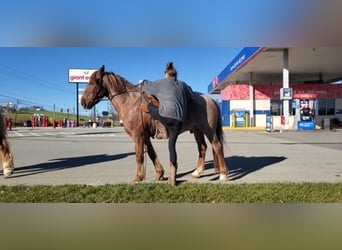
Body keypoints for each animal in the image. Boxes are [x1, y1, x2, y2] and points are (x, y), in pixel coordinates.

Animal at [81, 65, 228, 185]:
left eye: (93, 82)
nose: (83, 102)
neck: (132, 103)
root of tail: (211, 100)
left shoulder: (138, 136)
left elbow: (139, 156)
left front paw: (138, 177)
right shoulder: (145, 137)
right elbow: (151, 154)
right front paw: (159, 174)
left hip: (208, 130)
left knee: (217, 146)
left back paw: (223, 175)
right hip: (197, 130)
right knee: (202, 148)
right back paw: (197, 172)